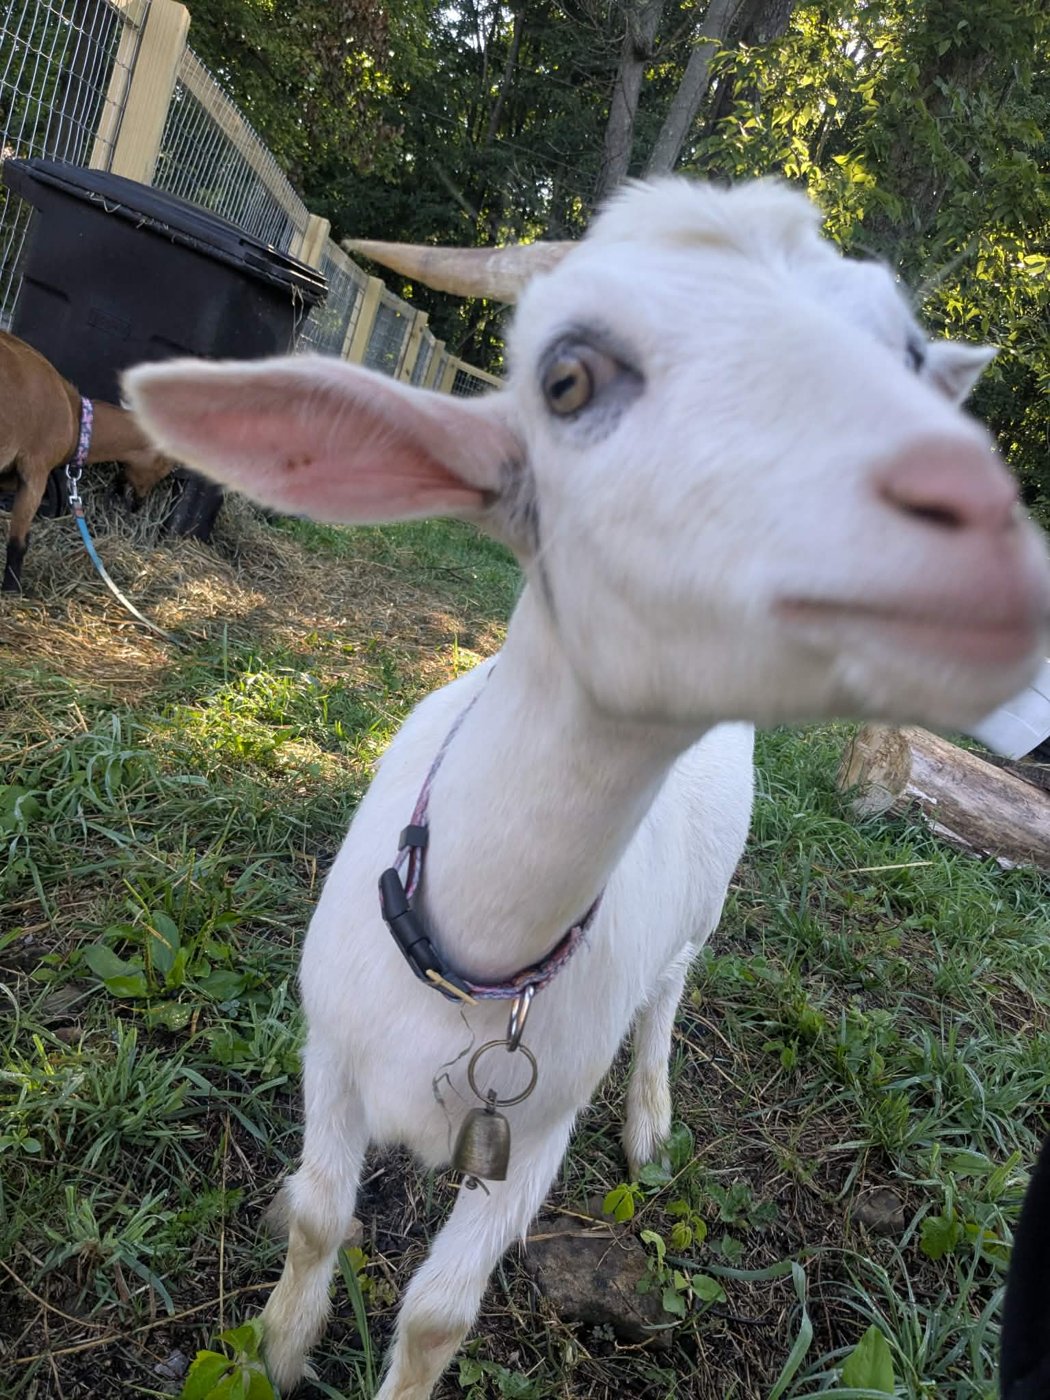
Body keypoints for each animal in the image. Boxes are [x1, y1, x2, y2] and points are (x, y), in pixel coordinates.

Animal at [0, 330, 173, 592]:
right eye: (166, 466)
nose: (137, 505)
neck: (77, 419)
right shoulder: (35, 473)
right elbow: (18, 541)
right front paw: (12, 589)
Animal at [125, 177, 1050, 1400]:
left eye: (903, 353)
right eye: (567, 378)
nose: (982, 519)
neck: (471, 964)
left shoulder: (537, 1130)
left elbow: (439, 1313)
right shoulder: (329, 1047)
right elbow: (323, 1214)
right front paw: (278, 1349)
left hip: (703, 907)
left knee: (669, 994)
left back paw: (653, 1122)